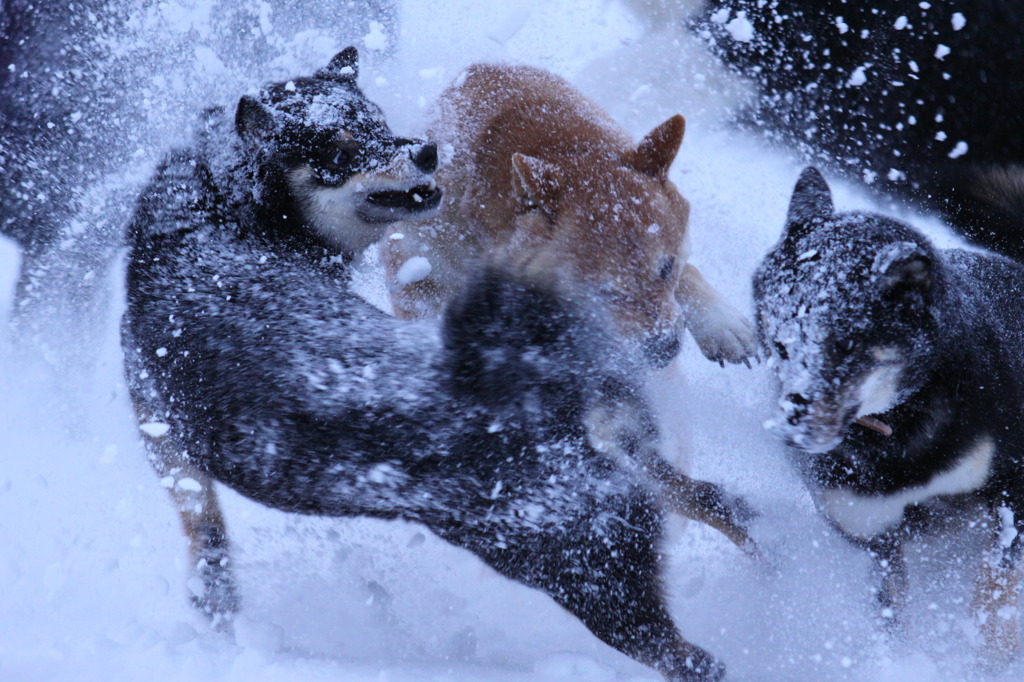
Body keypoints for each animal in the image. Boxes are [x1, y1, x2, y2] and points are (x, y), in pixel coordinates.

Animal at [123, 49, 757, 679]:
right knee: (714, 511)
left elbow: (202, 527)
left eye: (379, 125)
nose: (426, 152)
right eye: (340, 150)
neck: (212, 214)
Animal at [753, 168, 1024, 659]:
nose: (792, 430)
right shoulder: (874, 535)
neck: (899, 419)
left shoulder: (1015, 483)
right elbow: (893, 615)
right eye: (780, 344)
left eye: (843, 344)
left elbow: (998, 581)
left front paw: (989, 654)